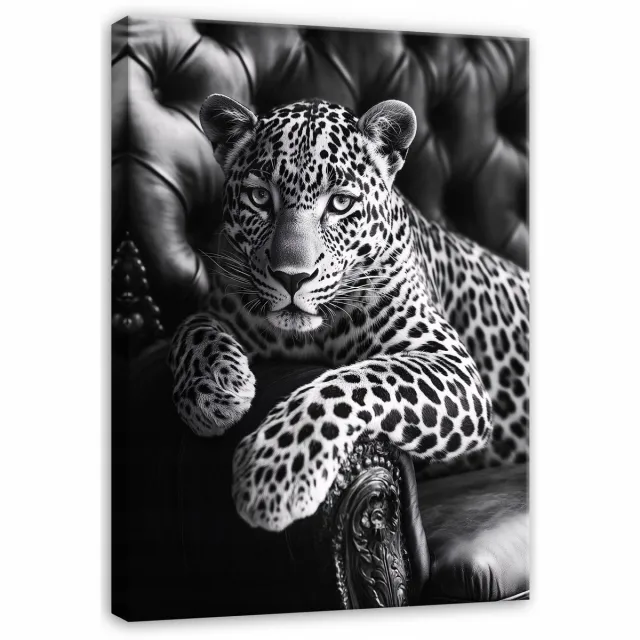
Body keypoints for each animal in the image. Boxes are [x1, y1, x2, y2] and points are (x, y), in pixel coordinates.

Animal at [168, 94, 529, 532]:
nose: (292, 277)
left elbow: (351, 382)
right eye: (260, 198)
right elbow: (190, 326)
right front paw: (213, 389)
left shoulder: (450, 363)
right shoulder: (224, 304)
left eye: (340, 203)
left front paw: (275, 473)